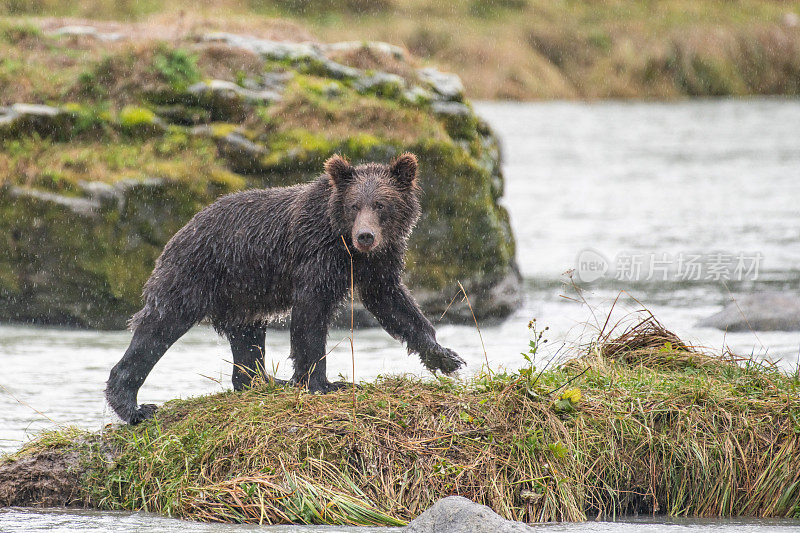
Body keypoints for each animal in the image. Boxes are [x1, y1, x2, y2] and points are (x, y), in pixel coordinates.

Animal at [107, 153, 468, 424]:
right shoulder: (315, 256)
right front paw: (325, 383)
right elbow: (311, 318)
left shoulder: (378, 264)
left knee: (247, 335)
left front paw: (446, 357)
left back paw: (265, 381)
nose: (365, 235)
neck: (344, 246)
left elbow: (395, 304)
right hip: (195, 274)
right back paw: (134, 406)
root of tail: (181, 229)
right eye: (354, 206)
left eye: (381, 204)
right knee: (160, 326)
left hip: (242, 292)